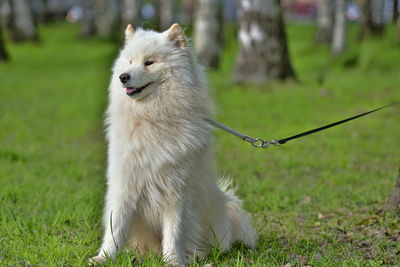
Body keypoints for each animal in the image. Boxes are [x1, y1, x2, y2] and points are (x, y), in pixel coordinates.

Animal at [91, 24, 258, 266]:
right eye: (129, 61)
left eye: (149, 62)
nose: (123, 77)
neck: (152, 118)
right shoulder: (125, 185)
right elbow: (116, 227)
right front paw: (104, 257)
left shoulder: (177, 190)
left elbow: (174, 231)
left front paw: (172, 260)